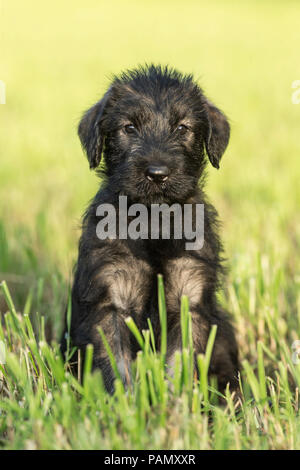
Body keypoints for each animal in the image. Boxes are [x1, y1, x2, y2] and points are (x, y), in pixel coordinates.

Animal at [62, 65, 240, 392]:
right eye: (129, 128)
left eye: (182, 128)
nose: (157, 173)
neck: (153, 220)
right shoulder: (111, 299)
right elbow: (117, 368)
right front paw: (126, 403)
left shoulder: (190, 295)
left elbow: (179, 366)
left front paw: (174, 403)